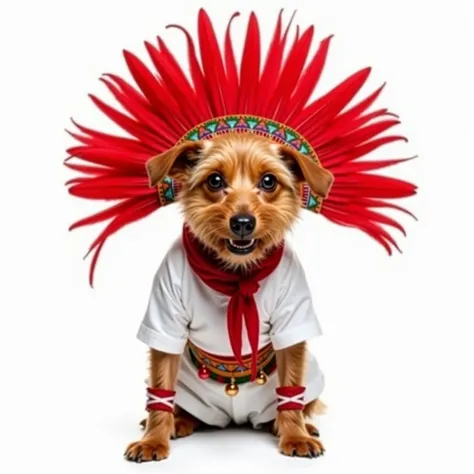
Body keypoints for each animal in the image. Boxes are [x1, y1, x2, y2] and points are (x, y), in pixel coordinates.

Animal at [124, 131, 336, 462]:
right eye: (214, 180)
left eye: (268, 181)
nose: (243, 222)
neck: (237, 276)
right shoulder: (165, 315)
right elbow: (160, 391)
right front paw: (153, 440)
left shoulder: (293, 318)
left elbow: (291, 389)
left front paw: (295, 434)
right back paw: (178, 421)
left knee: (301, 402)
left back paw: (291, 425)